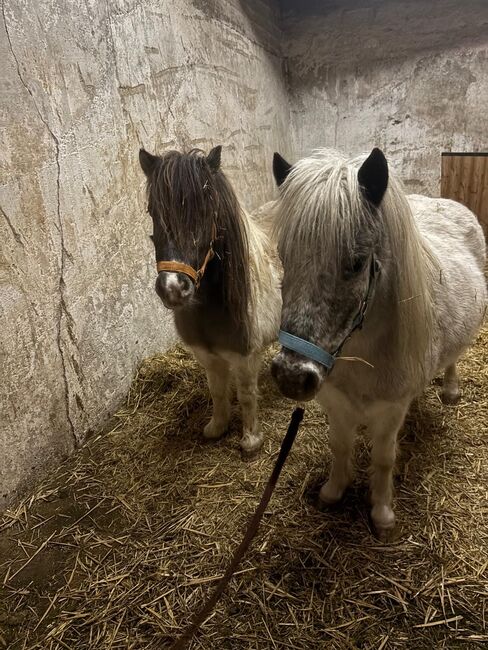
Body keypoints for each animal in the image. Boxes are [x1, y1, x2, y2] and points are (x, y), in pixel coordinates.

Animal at [139, 146, 282, 454]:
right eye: (153, 211)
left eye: (206, 213)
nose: (173, 288)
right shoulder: (206, 355)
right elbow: (217, 391)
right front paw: (217, 427)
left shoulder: (246, 357)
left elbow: (246, 395)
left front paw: (251, 440)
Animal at [270, 147, 487, 537]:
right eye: (284, 256)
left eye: (357, 263)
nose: (291, 376)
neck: (362, 352)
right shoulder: (335, 401)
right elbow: (339, 446)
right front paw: (333, 491)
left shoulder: (390, 411)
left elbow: (384, 459)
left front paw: (382, 513)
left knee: (452, 360)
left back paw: (450, 390)